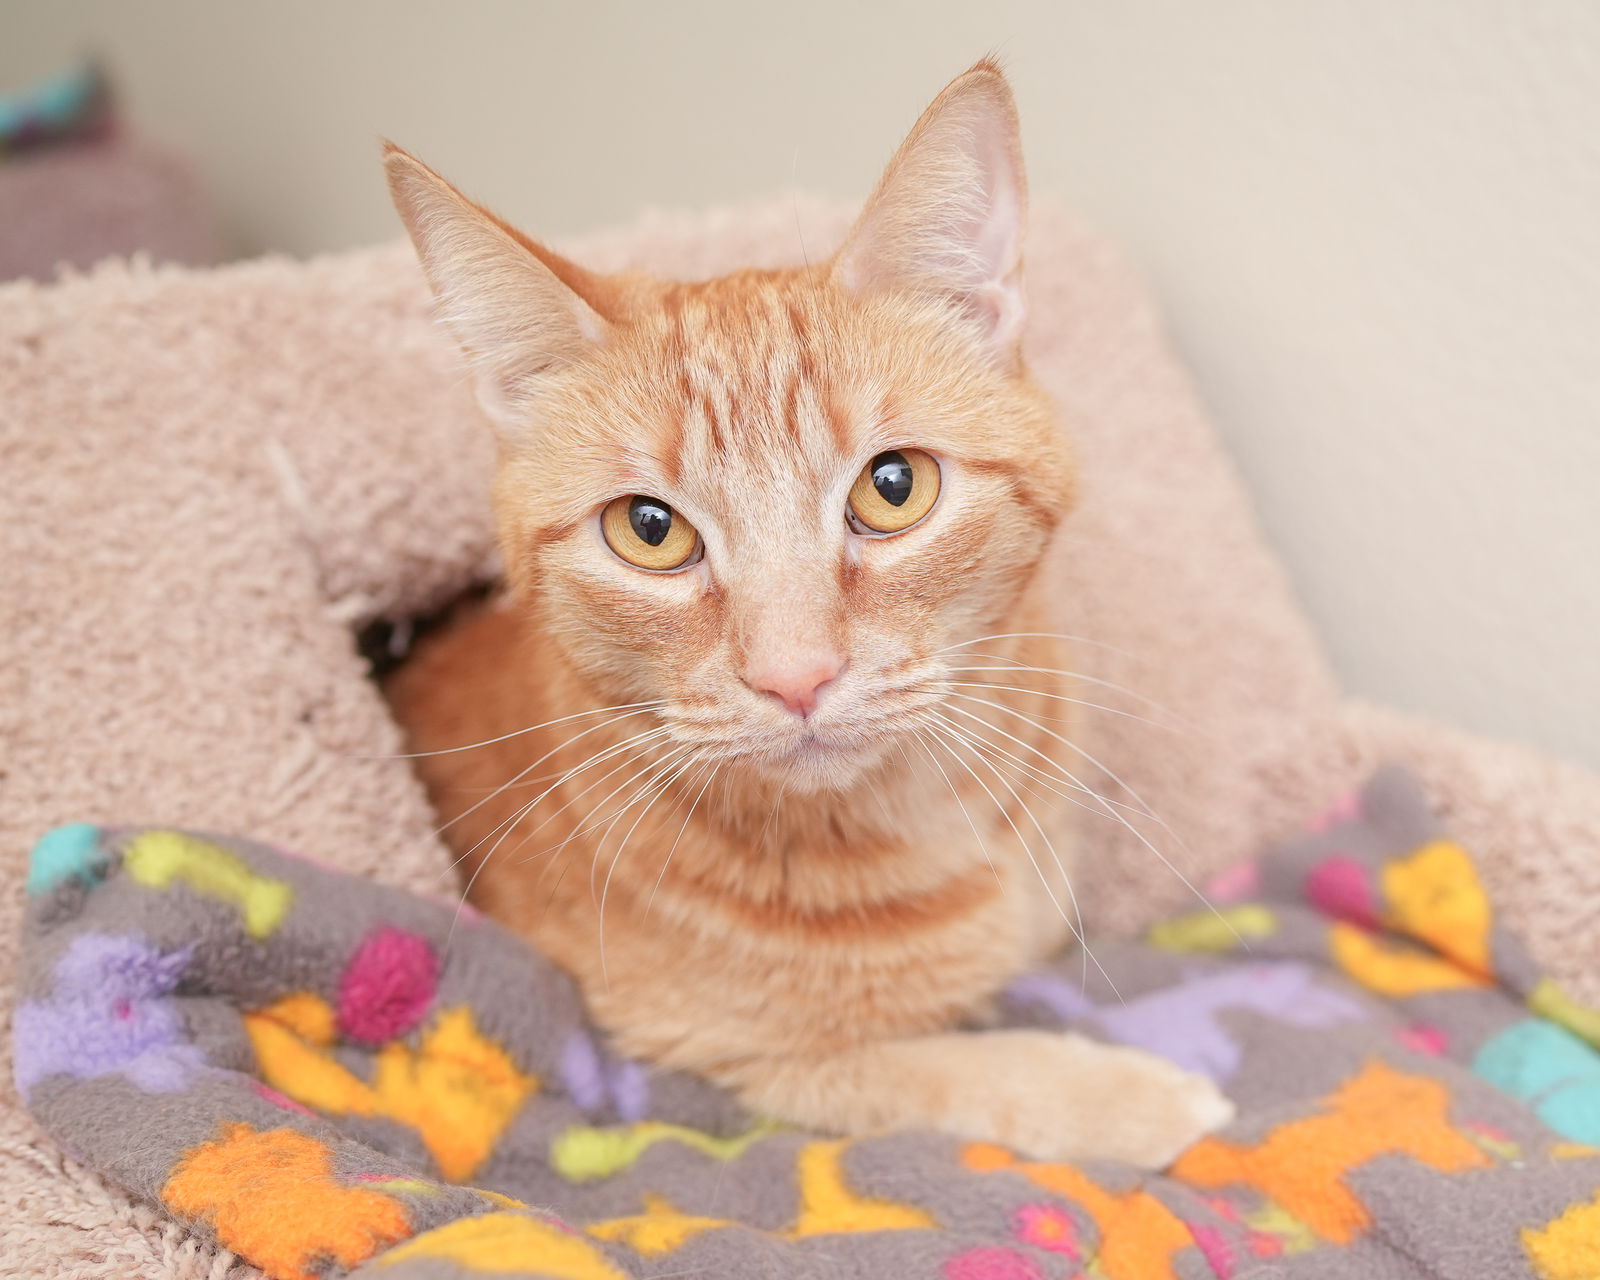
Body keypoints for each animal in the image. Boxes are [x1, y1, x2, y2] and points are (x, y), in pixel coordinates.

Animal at [380, 60, 1228, 1164]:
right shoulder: (746, 1057)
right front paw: (1133, 1095)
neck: (918, 822)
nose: (795, 677)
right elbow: (963, 1071)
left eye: (894, 487)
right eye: (649, 530)